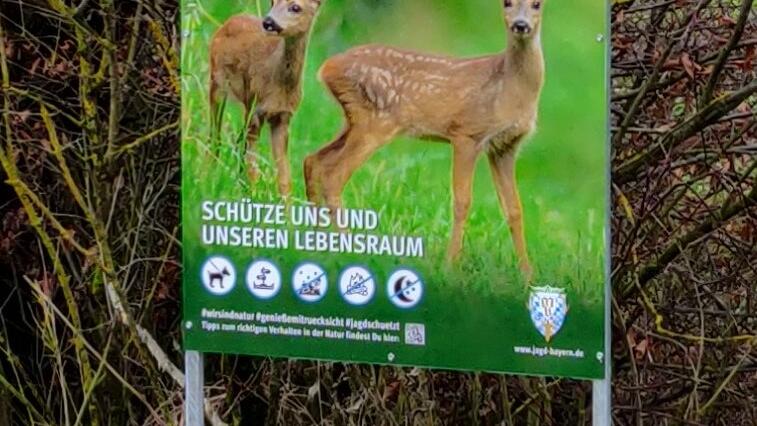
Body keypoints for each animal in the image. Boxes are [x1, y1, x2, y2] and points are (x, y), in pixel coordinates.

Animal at [210, 0, 322, 196]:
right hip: (217, 84)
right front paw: (253, 197)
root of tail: (229, 21)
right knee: (215, 134)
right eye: (273, 2)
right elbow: (253, 169)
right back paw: (208, 175)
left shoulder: (283, 117)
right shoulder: (255, 110)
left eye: (296, 7)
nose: (268, 21)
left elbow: (284, 178)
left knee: (237, 142)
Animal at [304, 0, 548, 276]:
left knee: (314, 160)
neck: (509, 90)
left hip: (352, 120)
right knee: (333, 174)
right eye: (507, 3)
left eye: (537, 4)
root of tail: (326, 68)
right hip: (375, 121)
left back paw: (317, 238)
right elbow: (462, 201)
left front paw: (528, 274)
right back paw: (346, 246)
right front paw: (451, 265)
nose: (520, 25)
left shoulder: (504, 147)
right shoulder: (467, 133)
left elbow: (514, 209)